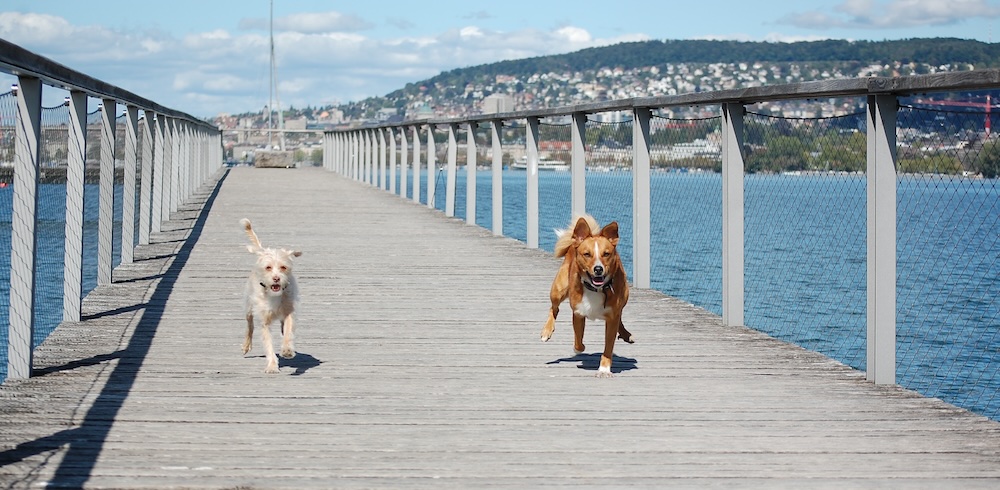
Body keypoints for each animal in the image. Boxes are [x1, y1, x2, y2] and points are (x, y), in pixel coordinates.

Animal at [241, 216, 300, 374]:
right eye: (268, 267)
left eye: (283, 267)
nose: (276, 278)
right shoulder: (264, 322)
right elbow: (268, 345)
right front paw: (272, 365)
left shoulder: (288, 312)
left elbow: (288, 332)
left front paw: (287, 350)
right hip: (249, 308)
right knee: (250, 327)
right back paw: (246, 345)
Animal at [540, 212, 632, 378]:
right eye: (587, 254)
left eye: (606, 254)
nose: (598, 269)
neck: (597, 288)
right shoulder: (578, 313)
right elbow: (578, 342)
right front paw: (578, 349)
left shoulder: (612, 317)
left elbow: (608, 346)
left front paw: (604, 369)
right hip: (558, 289)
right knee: (554, 308)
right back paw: (547, 331)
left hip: (624, 298)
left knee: (620, 316)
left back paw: (626, 334)